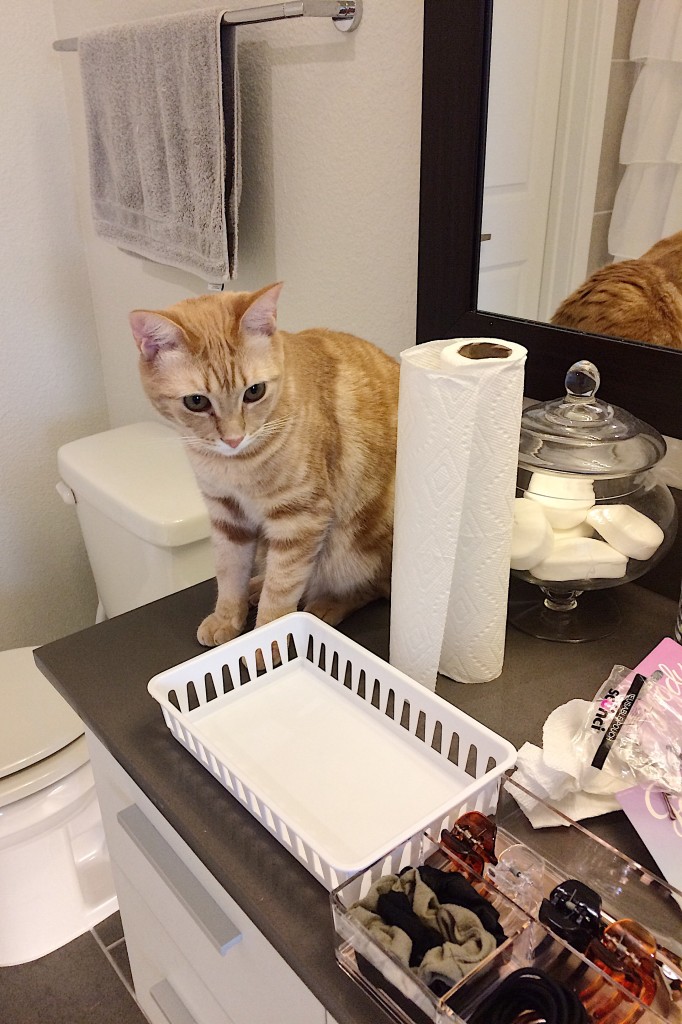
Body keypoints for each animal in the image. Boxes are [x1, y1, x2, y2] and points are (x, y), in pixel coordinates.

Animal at [129, 284, 399, 643]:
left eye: (254, 392)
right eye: (196, 401)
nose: (233, 438)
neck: (235, 466)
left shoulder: (299, 519)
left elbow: (281, 592)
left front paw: (266, 643)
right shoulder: (227, 516)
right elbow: (229, 574)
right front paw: (228, 619)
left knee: (373, 587)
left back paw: (328, 603)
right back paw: (256, 587)